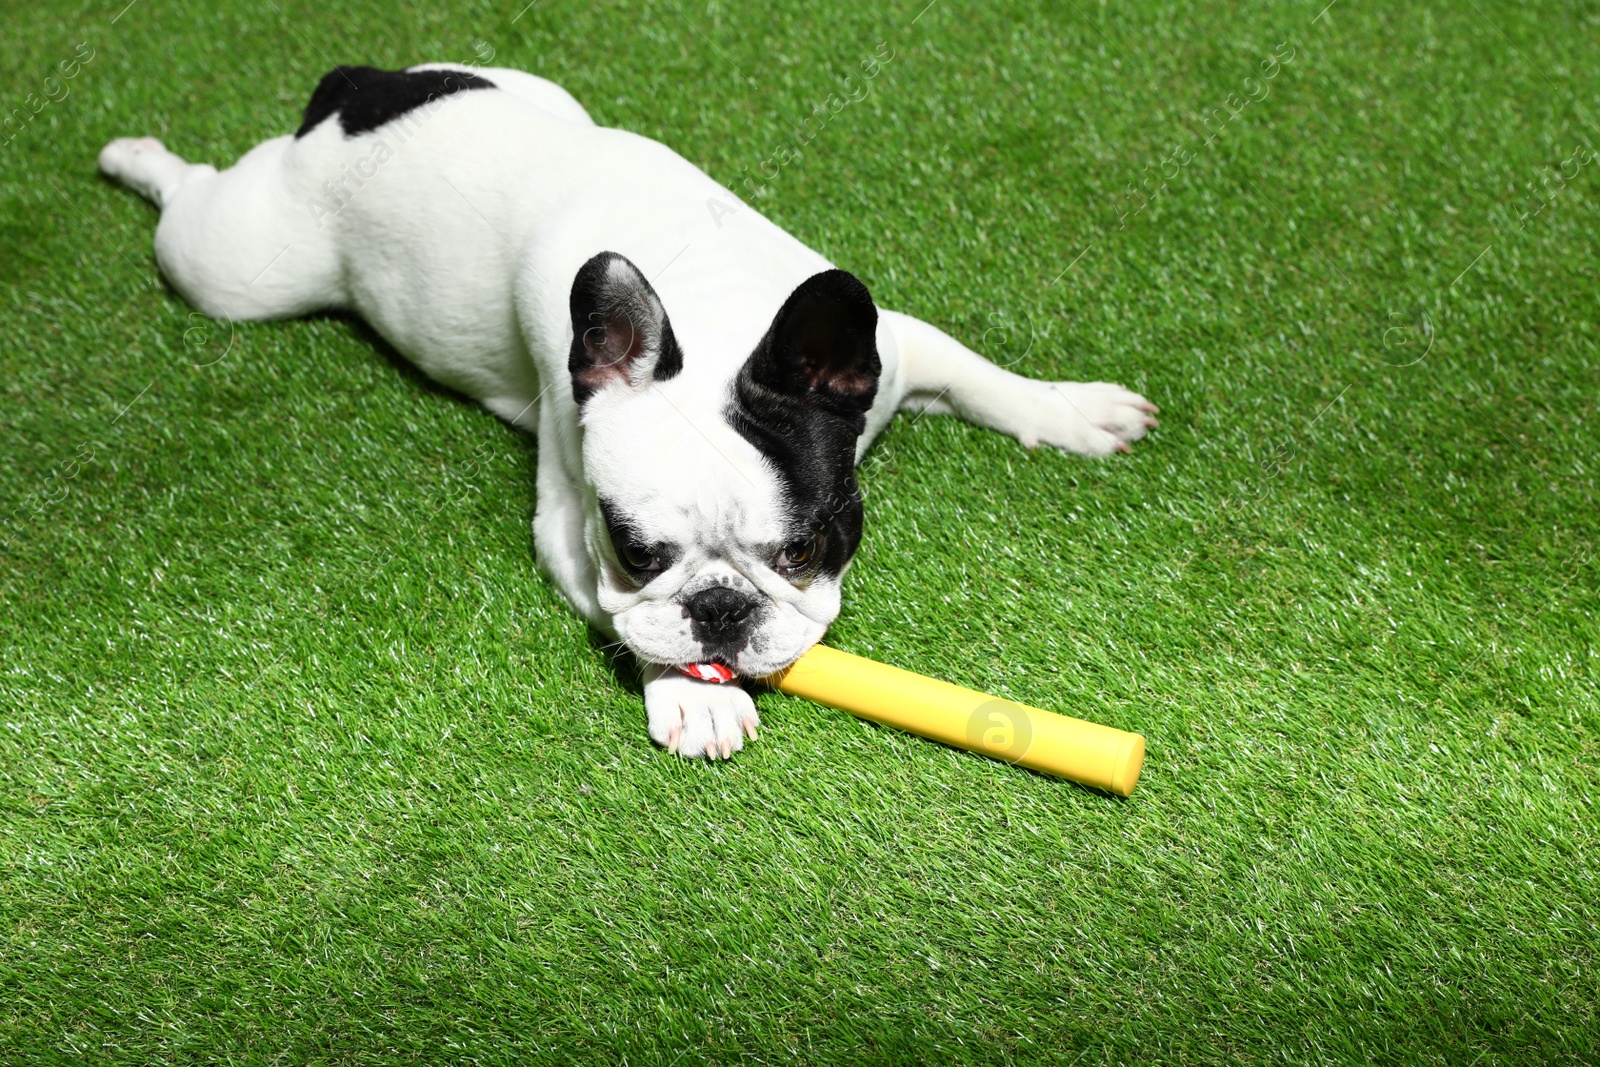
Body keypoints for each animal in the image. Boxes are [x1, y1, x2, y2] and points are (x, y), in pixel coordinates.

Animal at [96, 62, 1152, 758]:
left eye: (806, 549)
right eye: (639, 553)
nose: (721, 609)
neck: (716, 315)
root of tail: (352, 95)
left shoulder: (897, 350)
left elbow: (984, 377)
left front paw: (1072, 410)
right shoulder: (570, 526)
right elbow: (628, 621)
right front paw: (694, 695)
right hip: (236, 268)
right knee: (190, 198)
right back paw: (133, 153)